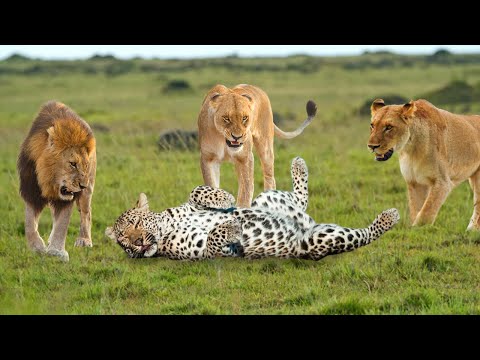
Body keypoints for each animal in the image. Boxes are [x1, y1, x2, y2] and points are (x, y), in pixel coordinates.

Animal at [17, 101, 96, 262]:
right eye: (72, 164)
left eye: (85, 165)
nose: (82, 186)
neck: (48, 180)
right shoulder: (31, 191)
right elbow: (29, 224)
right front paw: (37, 247)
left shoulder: (67, 198)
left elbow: (62, 224)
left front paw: (57, 251)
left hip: (88, 191)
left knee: (86, 213)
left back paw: (84, 240)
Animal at [106, 156, 402, 260]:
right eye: (123, 241)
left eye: (136, 224)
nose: (138, 243)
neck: (168, 227)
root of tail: (305, 224)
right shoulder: (207, 253)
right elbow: (214, 238)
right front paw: (232, 226)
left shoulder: (189, 204)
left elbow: (197, 189)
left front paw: (223, 199)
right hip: (317, 240)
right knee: (363, 236)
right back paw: (389, 217)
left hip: (265, 199)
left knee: (299, 199)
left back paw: (298, 164)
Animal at [368, 97, 480, 231]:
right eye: (372, 125)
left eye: (389, 127)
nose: (371, 146)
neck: (410, 148)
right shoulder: (414, 182)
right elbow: (416, 209)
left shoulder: (442, 182)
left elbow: (426, 212)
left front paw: (418, 229)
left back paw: (471, 230)